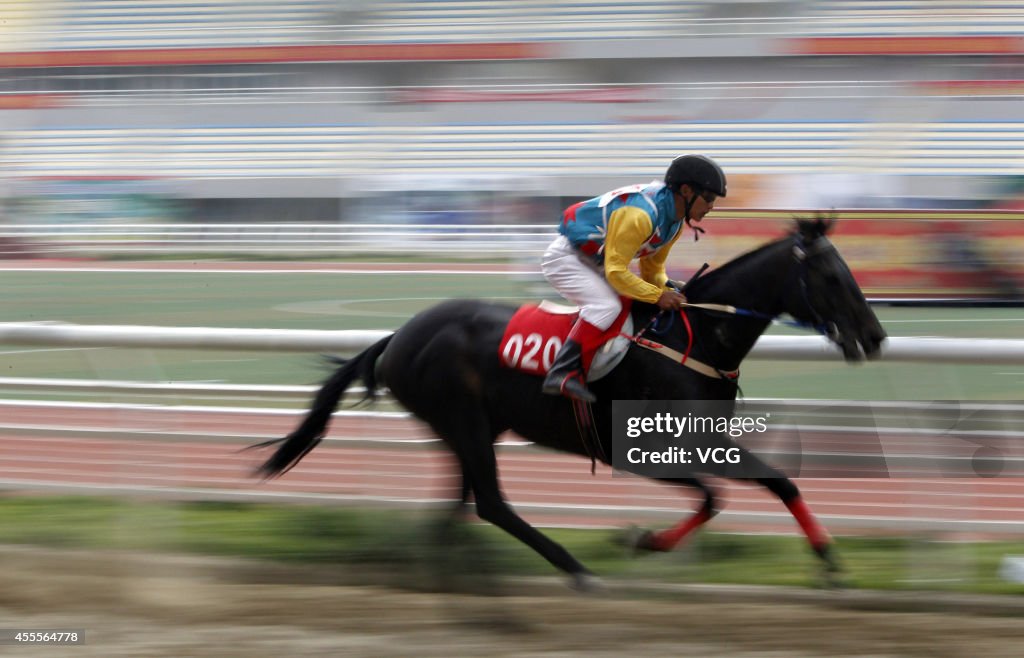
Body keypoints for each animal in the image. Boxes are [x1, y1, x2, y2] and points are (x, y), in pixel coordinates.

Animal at [251, 218, 884, 589]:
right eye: (831, 276)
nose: (876, 336)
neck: (696, 338)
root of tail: (397, 337)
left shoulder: (702, 440)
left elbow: (774, 483)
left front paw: (829, 560)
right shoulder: (642, 448)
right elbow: (718, 496)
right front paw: (644, 540)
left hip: (471, 428)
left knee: (460, 506)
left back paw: (455, 569)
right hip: (464, 421)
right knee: (491, 503)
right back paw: (572, 568)